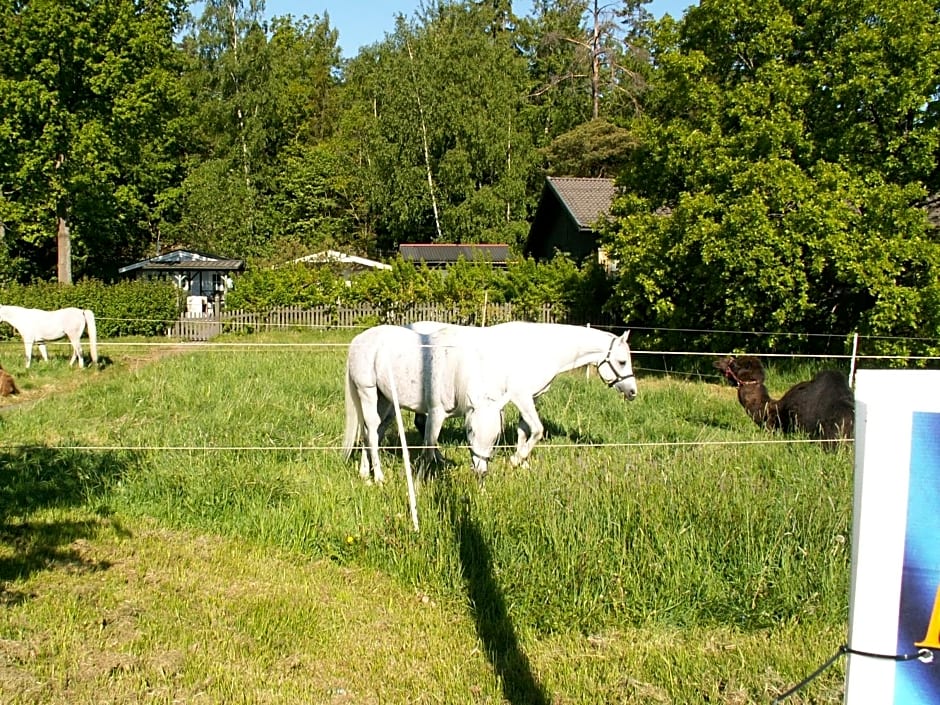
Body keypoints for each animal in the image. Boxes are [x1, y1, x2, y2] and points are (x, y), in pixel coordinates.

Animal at [344, 324, 506, 484]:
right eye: (471, 430)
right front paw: (419, 483)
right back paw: (378, 478)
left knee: (371, 431)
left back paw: (365, 475)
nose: (481, 471)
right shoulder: (435, 414)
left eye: (496, 436)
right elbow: (428, 451)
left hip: (384, 400)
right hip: (367, 392)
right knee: (371, 430)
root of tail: (358, 339)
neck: (454, 370)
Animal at [404, 320, 640, 468]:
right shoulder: (521, 396)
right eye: (622, 361)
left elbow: (524, 431)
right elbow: (537, 430)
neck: (540, 349)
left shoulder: (529, 398)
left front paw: (522, 463)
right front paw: (517, 459)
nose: (632, 392)